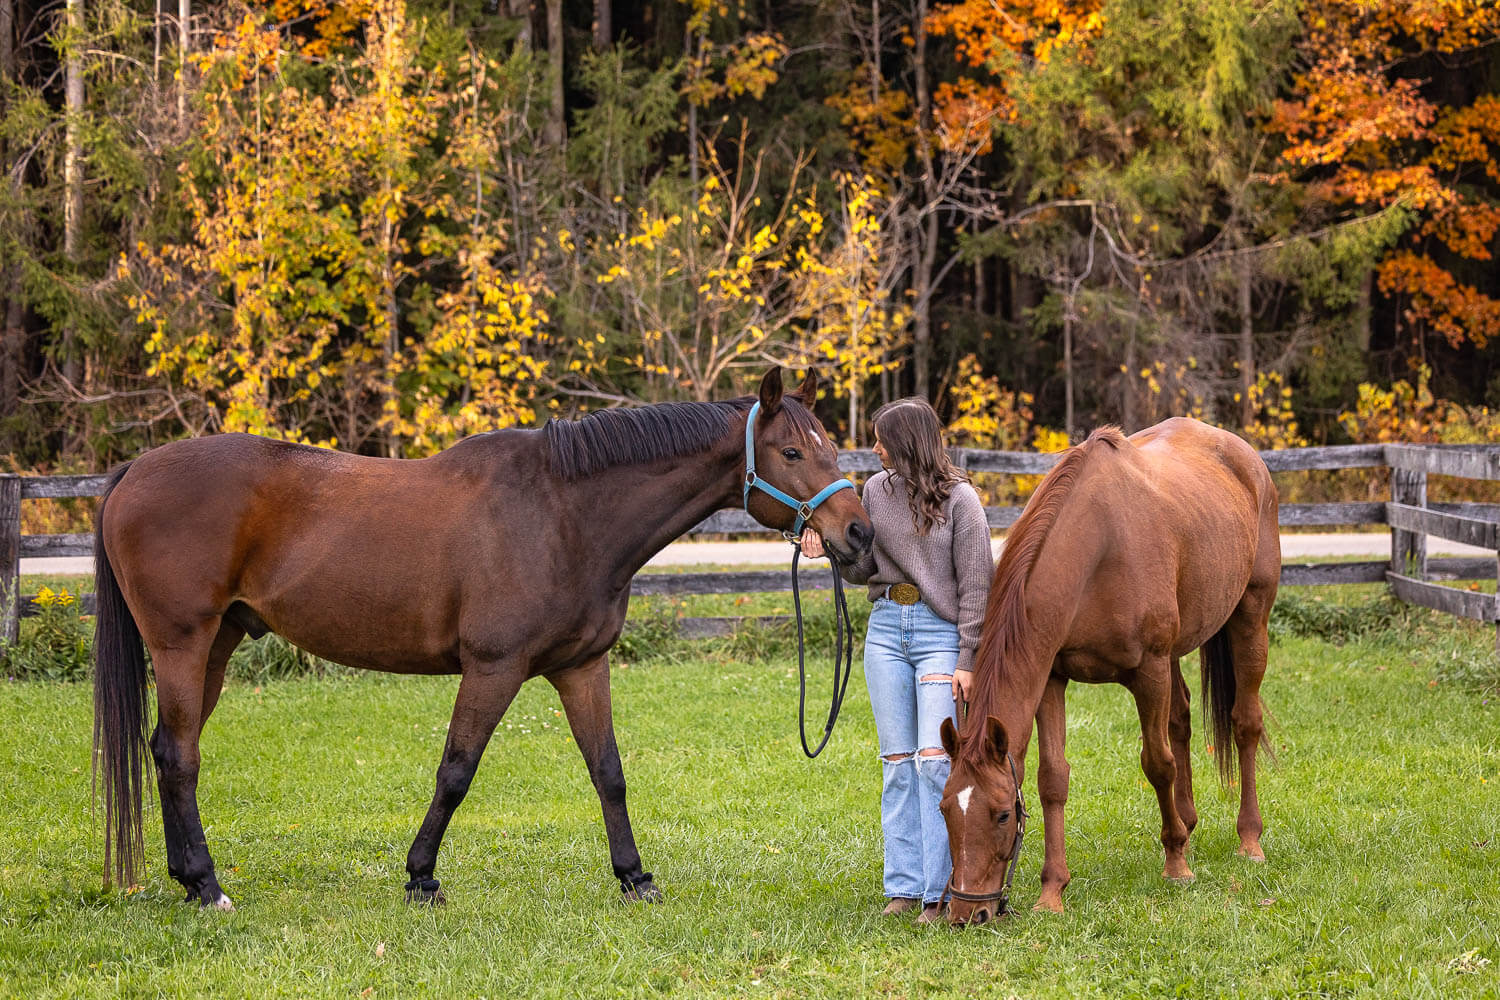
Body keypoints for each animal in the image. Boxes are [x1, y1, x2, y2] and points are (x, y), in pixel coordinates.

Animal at [92, 367, 873, 910]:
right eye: (792, 452)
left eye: (831, 446)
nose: (859, 534)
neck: (563, 513)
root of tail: (133, 472)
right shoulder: (493, 669)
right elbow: (456, 771)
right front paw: (421, 878)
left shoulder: (582, 667)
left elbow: (608, 772)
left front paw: (634, 876)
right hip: (183, 646)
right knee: (180, 756)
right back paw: (207, 885)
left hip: (217, 646)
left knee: (166, 750)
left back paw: (188, 879)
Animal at [936, 417, 1279, 926]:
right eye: (944, 809)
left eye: (1001, 814)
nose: (965, 912)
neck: (1098, 548)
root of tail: (1245, 456)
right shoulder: (1051, 679)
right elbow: (1053, 779)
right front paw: (1052, 891)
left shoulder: (1148, 671)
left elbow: (1157, 764)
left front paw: (1176, 866)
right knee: (1180, 719)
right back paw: (1187, 824)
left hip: (1250, 618)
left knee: (1244, 725)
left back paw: (1248, 839)